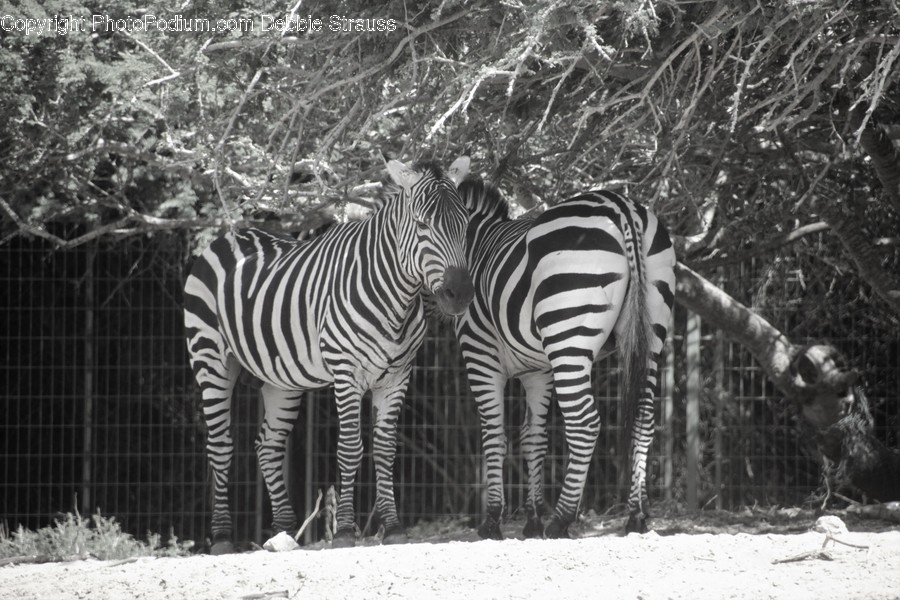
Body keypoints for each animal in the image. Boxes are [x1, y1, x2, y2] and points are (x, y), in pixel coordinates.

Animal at [183, 156, 474, 553]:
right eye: (422, 225)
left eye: (466, 223)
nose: (460, 295)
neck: (396, 298)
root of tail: (229, 237)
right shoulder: (346, 371)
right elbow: (351, 447)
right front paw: (347, 530)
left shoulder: (398, 376)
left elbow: (385, 449)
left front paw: (393, 526)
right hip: (211, 359)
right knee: (221, 446)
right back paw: (224, 537)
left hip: (281, 378)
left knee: (267, 445)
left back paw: (283, 528)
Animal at [454, 177, 675, 539]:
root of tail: (621, 206)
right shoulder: (537, 371)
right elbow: (533, 438)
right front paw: (531, 520)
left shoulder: (481, 355)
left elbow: (494, 435)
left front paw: (493, 521)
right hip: (654, 327)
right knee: (644, 417)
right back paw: (636, 515)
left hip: (568, 333)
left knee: (584, 422)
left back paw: (562, 518)